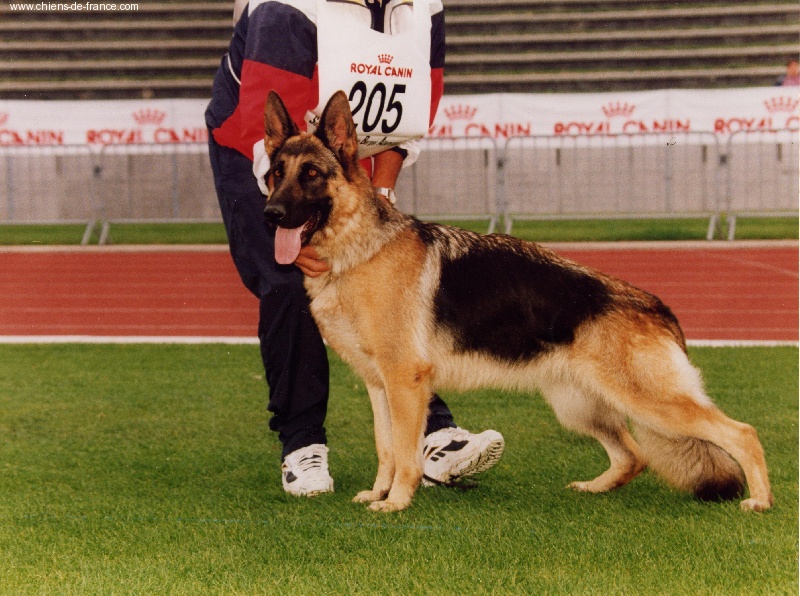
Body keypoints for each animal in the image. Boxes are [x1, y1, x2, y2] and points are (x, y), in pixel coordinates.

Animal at [260, 91, 772, 516]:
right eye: (275, 175)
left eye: (311, 175)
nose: (270, 215)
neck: (357, 249)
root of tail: (658, 308)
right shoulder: (379, 386)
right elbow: (385, 448)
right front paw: (379, 492)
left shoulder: (405, 383)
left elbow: (405, 452)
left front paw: (397, 502)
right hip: (579, 407)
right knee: (634, 456)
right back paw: (596, 488)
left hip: (650, 402)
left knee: (740, 432)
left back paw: (760, 501)